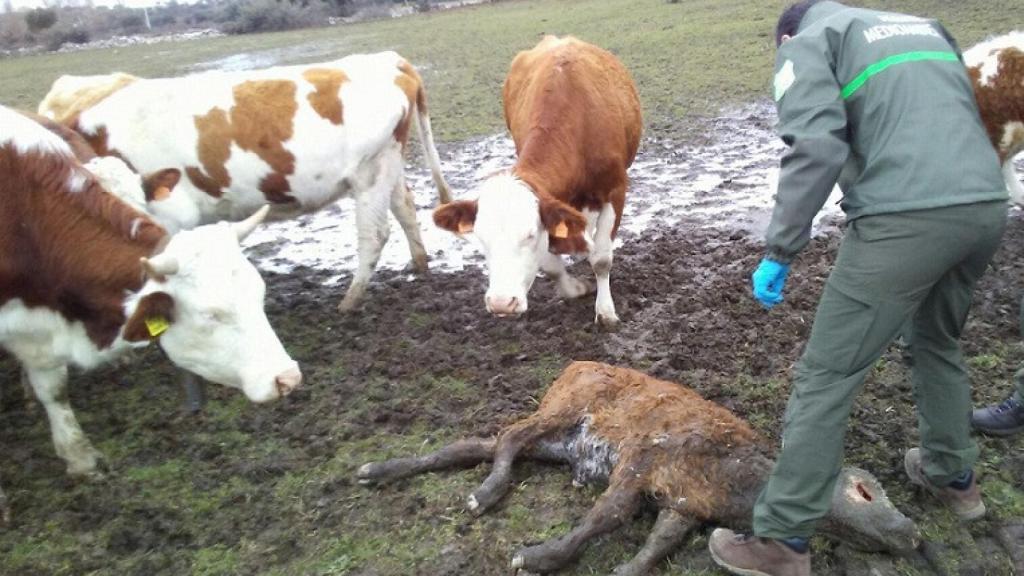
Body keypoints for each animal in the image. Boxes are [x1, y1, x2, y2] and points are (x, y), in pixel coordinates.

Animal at [0, 105, 301, 518]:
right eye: (210, 315)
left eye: (259, 296)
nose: (287, 378)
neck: (26, 219)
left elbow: (55, 388)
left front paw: (80, 457)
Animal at [37, 52, 452, 311]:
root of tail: (386, 60)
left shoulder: (173, 213)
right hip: (387, 169)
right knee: (405, 207)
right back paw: (418, 265)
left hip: (370, 174)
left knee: (374, 235)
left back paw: (349, 301)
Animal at [360, 360, 921, 569]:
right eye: (864, 491)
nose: (912, 534)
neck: (736, 486)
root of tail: (572, 365)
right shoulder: (641, 457)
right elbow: (602, 519)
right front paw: (536, 556)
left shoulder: (682, 506)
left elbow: (654, 549)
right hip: (562, 410)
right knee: (510, 438)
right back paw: (485, 493)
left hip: (557, 440)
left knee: (479, 443)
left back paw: (379, 470)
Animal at [430, 35, 638, 327]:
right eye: (481, 237)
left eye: (529, 235)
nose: (501, 302)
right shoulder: (551, 202)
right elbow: (550, 264)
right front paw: (575, 288)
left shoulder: (615, 190)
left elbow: (601, 259)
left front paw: (606, 311)